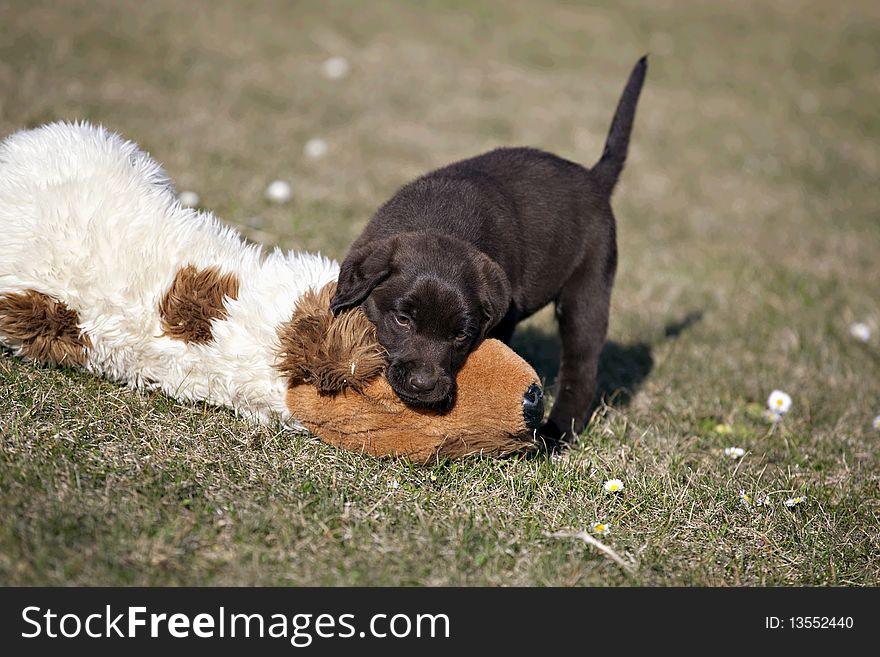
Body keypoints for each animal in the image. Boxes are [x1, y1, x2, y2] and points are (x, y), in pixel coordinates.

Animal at [330, 56, 648, 440]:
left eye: (462, 335)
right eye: (402, 320)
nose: (423, 385)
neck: (440, 222)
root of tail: (594, 179)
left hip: (588, 289)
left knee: (580, 367)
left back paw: (554, 435)